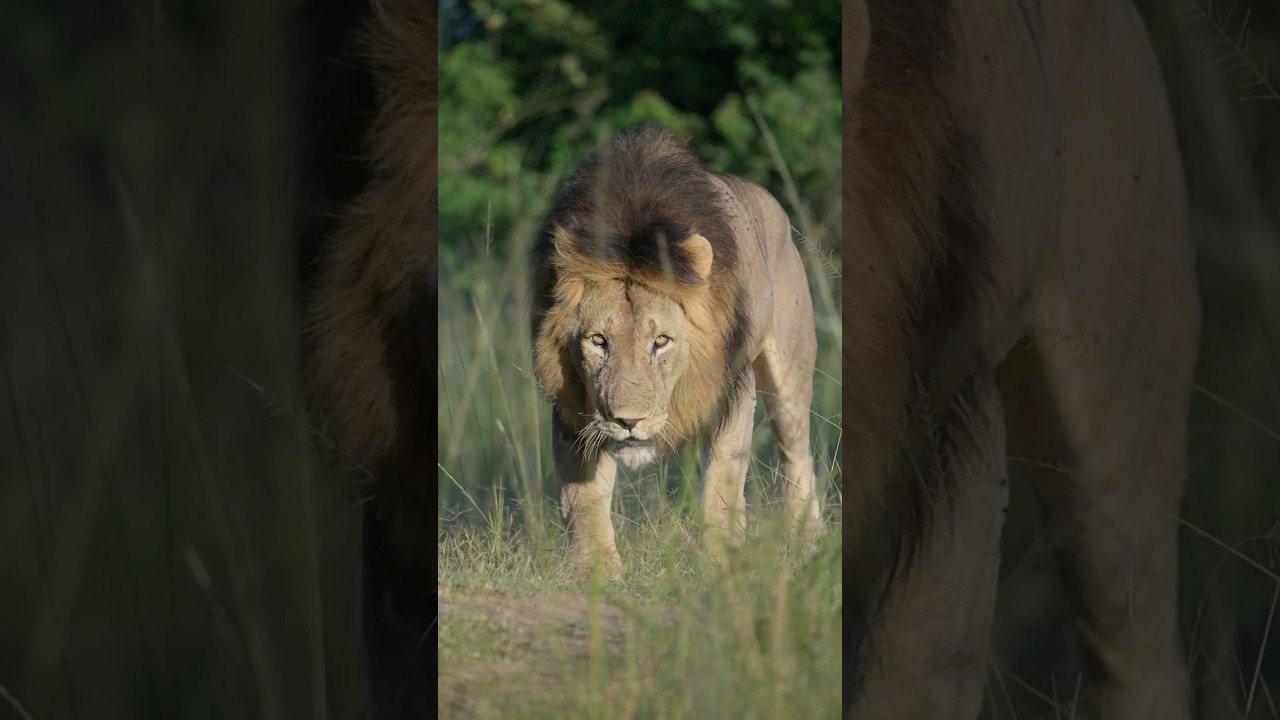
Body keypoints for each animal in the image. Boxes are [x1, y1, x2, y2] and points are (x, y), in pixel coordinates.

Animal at [531, 124, 823, 574]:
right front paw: (596, 570)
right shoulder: (575, 400)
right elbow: (581, 494)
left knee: (797, 457)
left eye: (661, 341)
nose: (628, 421)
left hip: (789, 378)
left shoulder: (732, 386)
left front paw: (720, 559)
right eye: (598, 341)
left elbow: (723, 475)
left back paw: (808, 543)